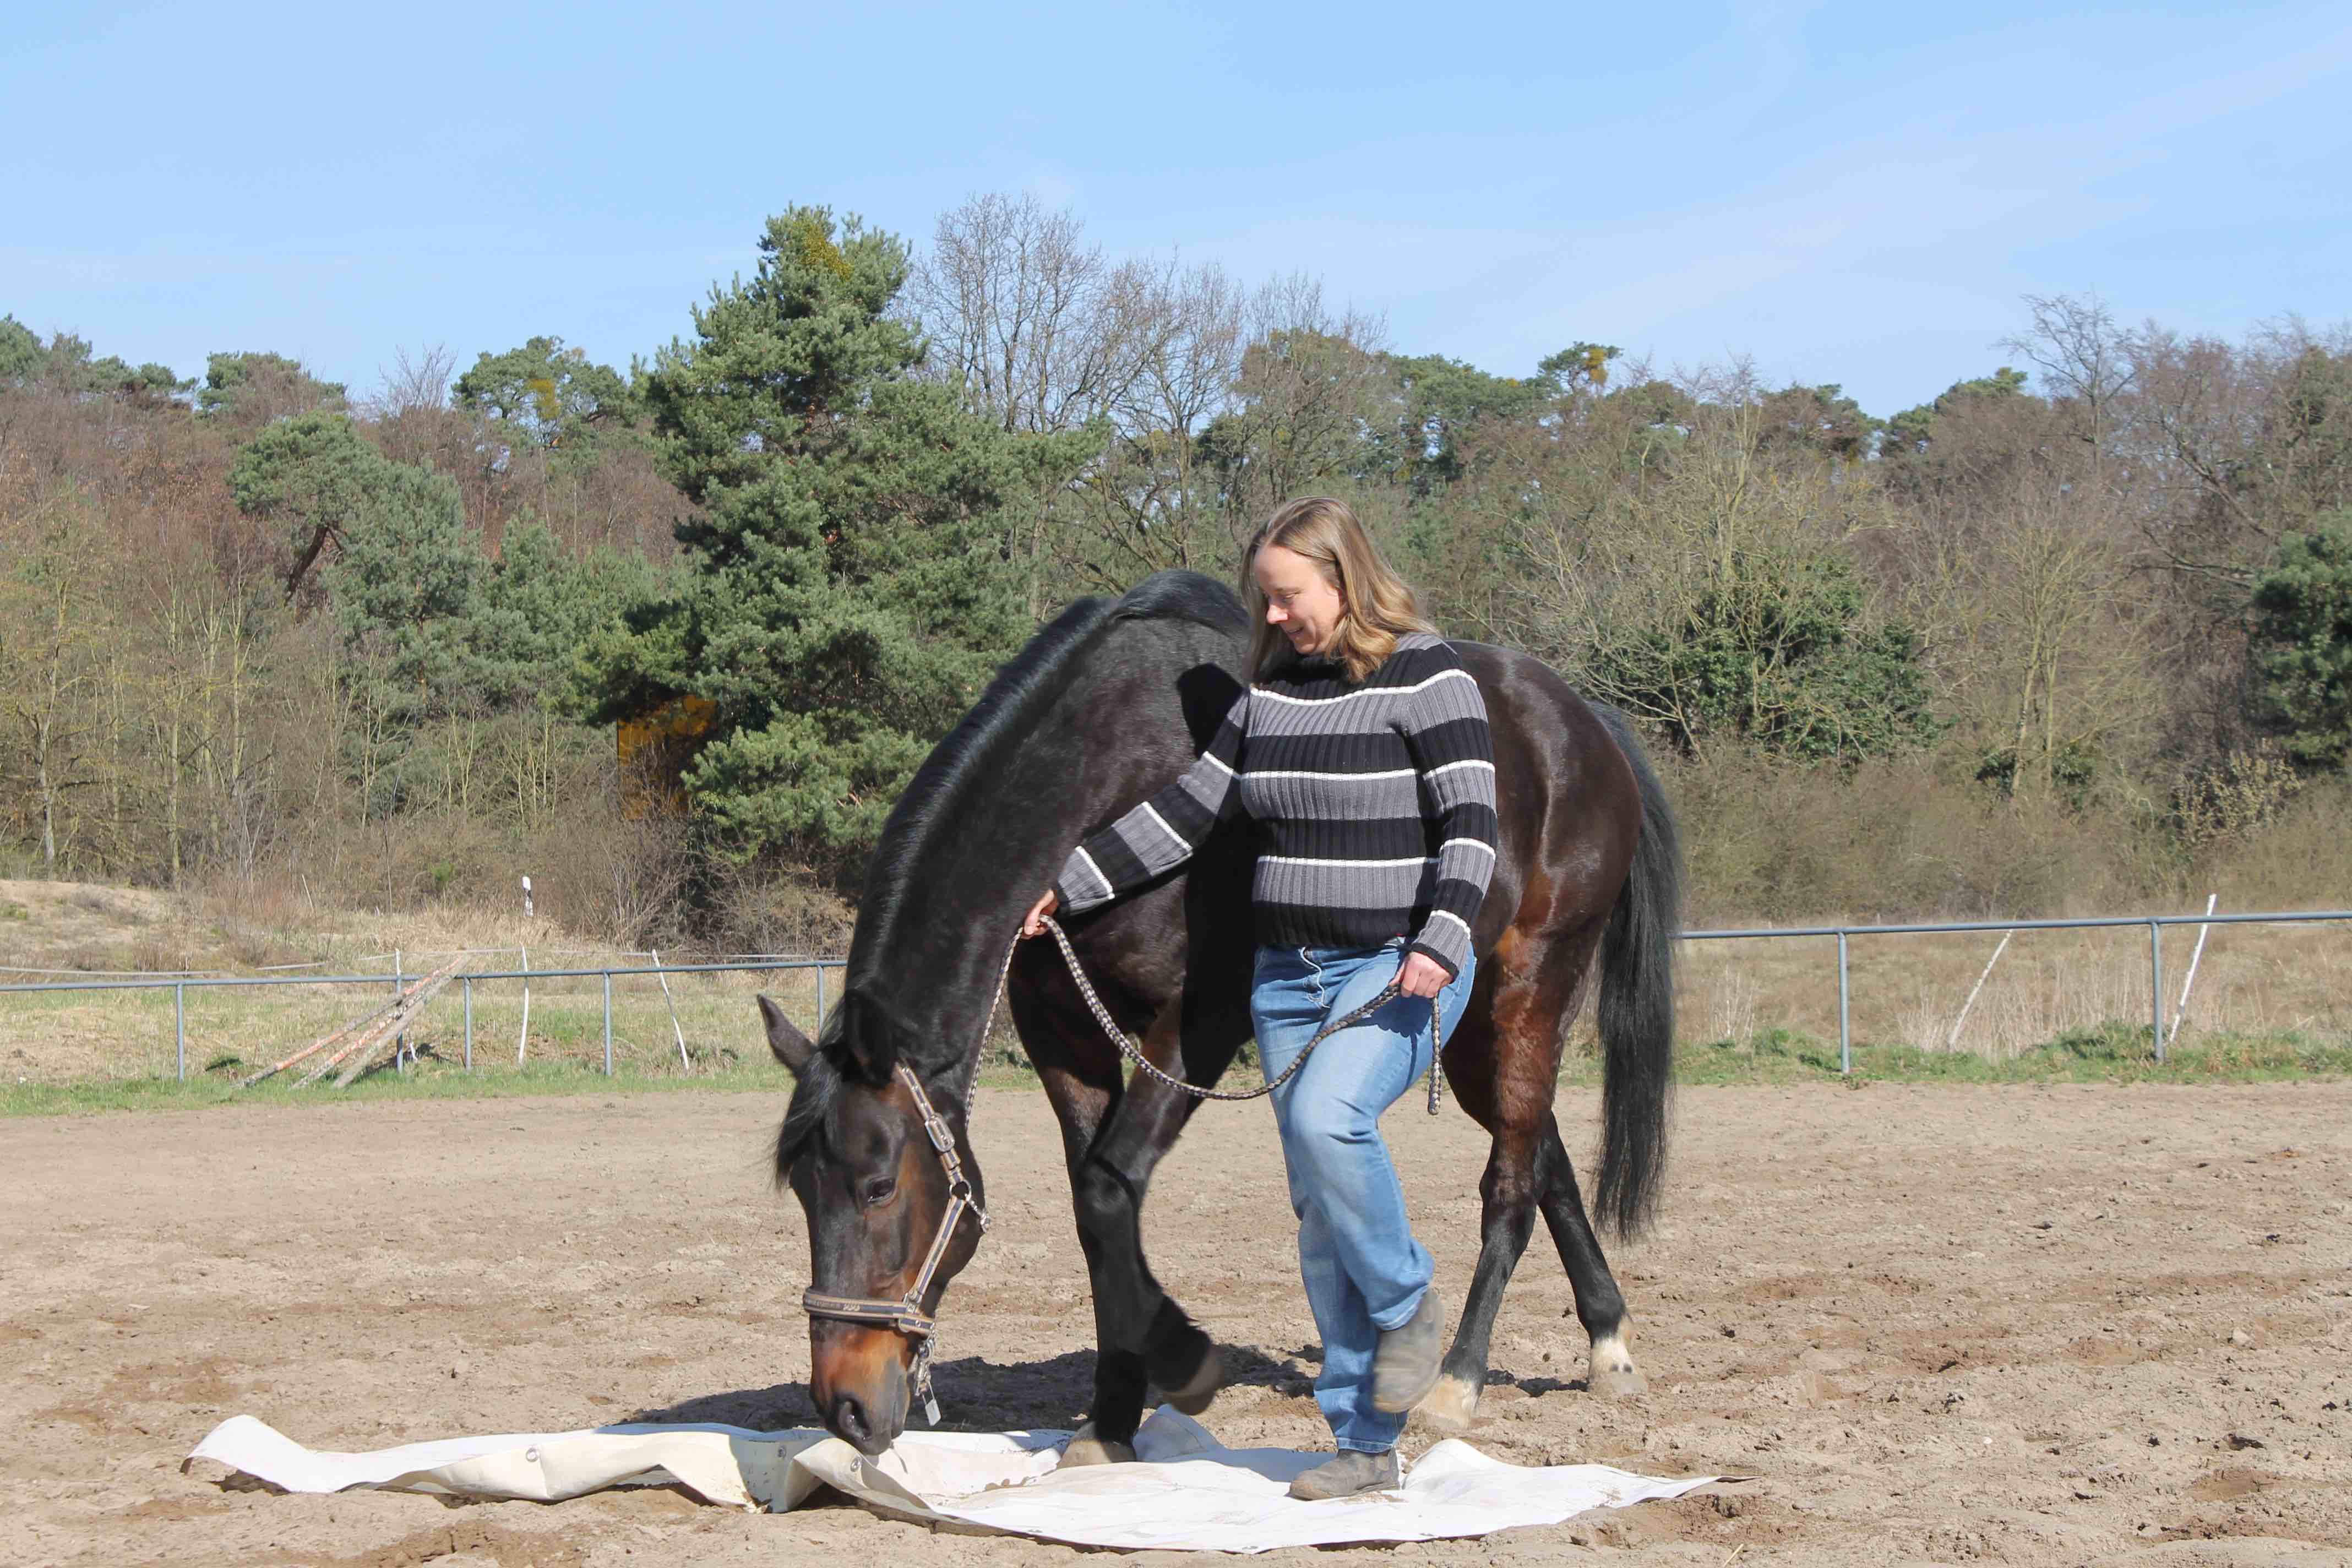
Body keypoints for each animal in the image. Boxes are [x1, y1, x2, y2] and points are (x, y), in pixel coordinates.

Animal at [758, 569, 1680, 1461]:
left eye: (878, 1187)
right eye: (802, 1191)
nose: (844, 1407)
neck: (1116, 770)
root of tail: (1584, 722)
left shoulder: (1202, 1019)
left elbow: (1109, 1190)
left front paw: (1184, 1358)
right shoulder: (1062, 1033)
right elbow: (1096, 1208)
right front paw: (1113, 1420)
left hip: (1531, 986)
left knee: (1513, 1184)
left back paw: (1458, 1379)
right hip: (1457, 1017)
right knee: (1544, 1150)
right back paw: (1609, 1344)